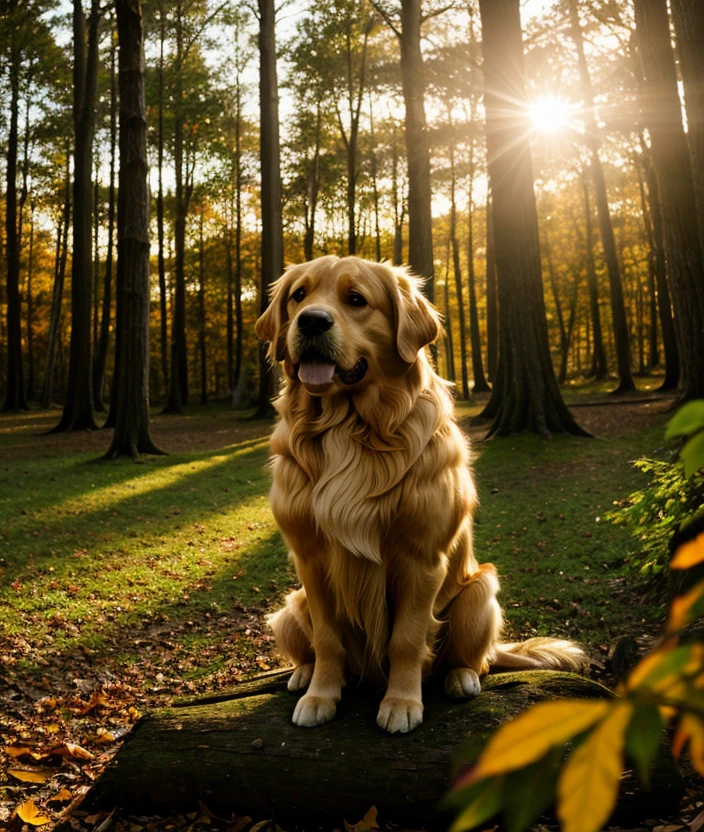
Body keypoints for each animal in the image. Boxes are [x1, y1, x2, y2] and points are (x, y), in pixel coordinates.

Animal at [254, 255, 584, 736]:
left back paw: (461, 677)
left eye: (356, 299)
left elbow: (407, 639)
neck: (349, 425)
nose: (311, 320)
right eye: (299, 295)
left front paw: (402, 703)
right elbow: (328, 639)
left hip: (479, 592)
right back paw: (303, 674)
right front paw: (320, 696)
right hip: (290, 606)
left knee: (479, 660)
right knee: (309, 643)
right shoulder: (310, 560)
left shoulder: (421, 557)